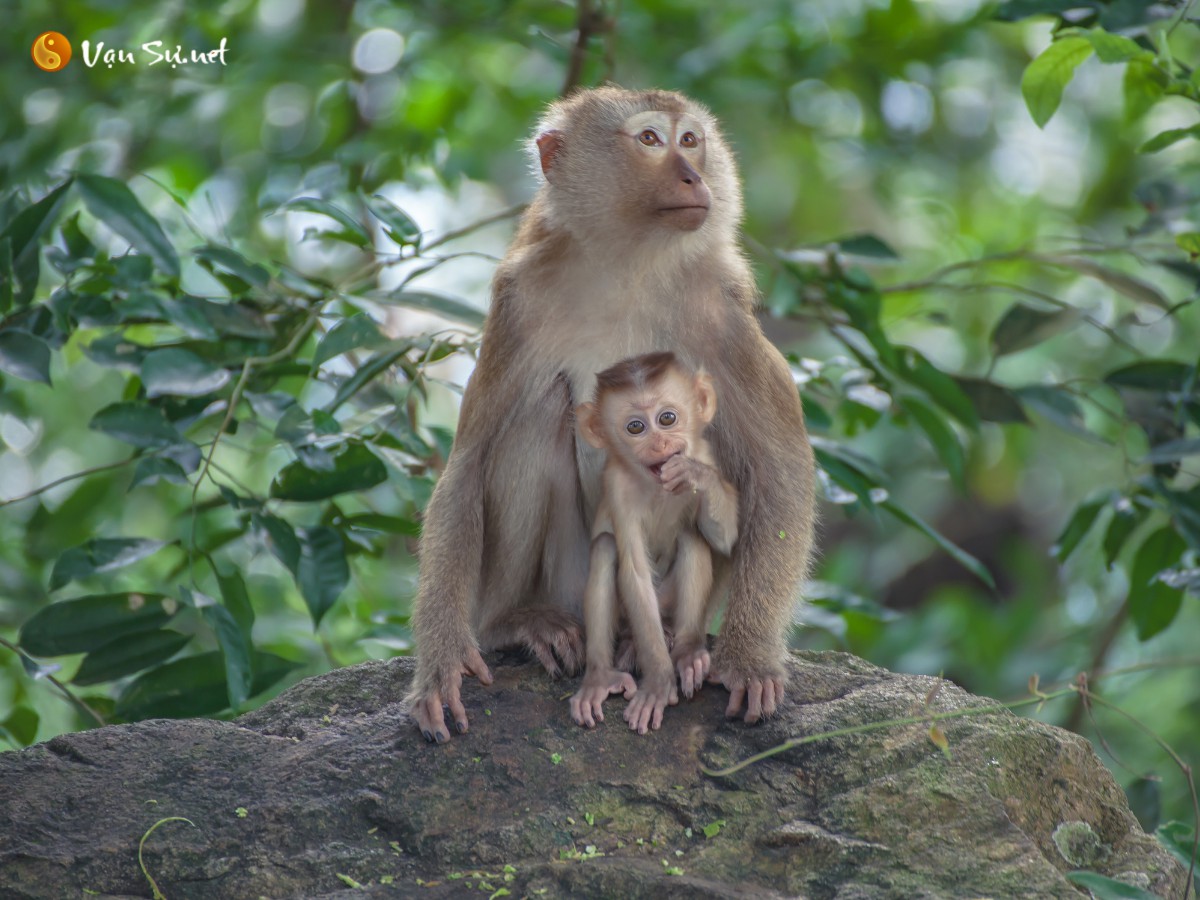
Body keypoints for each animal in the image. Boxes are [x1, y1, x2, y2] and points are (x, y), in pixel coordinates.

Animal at [566, 348, 734, 734]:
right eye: (635, 427)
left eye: (667, 418)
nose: (660, 443)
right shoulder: (617, 485)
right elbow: (635, 572)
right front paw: (658, 682)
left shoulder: (705, 453)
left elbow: (726, 539)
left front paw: (696, 476)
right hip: (626, 620)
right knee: (606, 548)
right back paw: (600, 676)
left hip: (668, 600)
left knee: (691, 536)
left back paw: (687, 650)